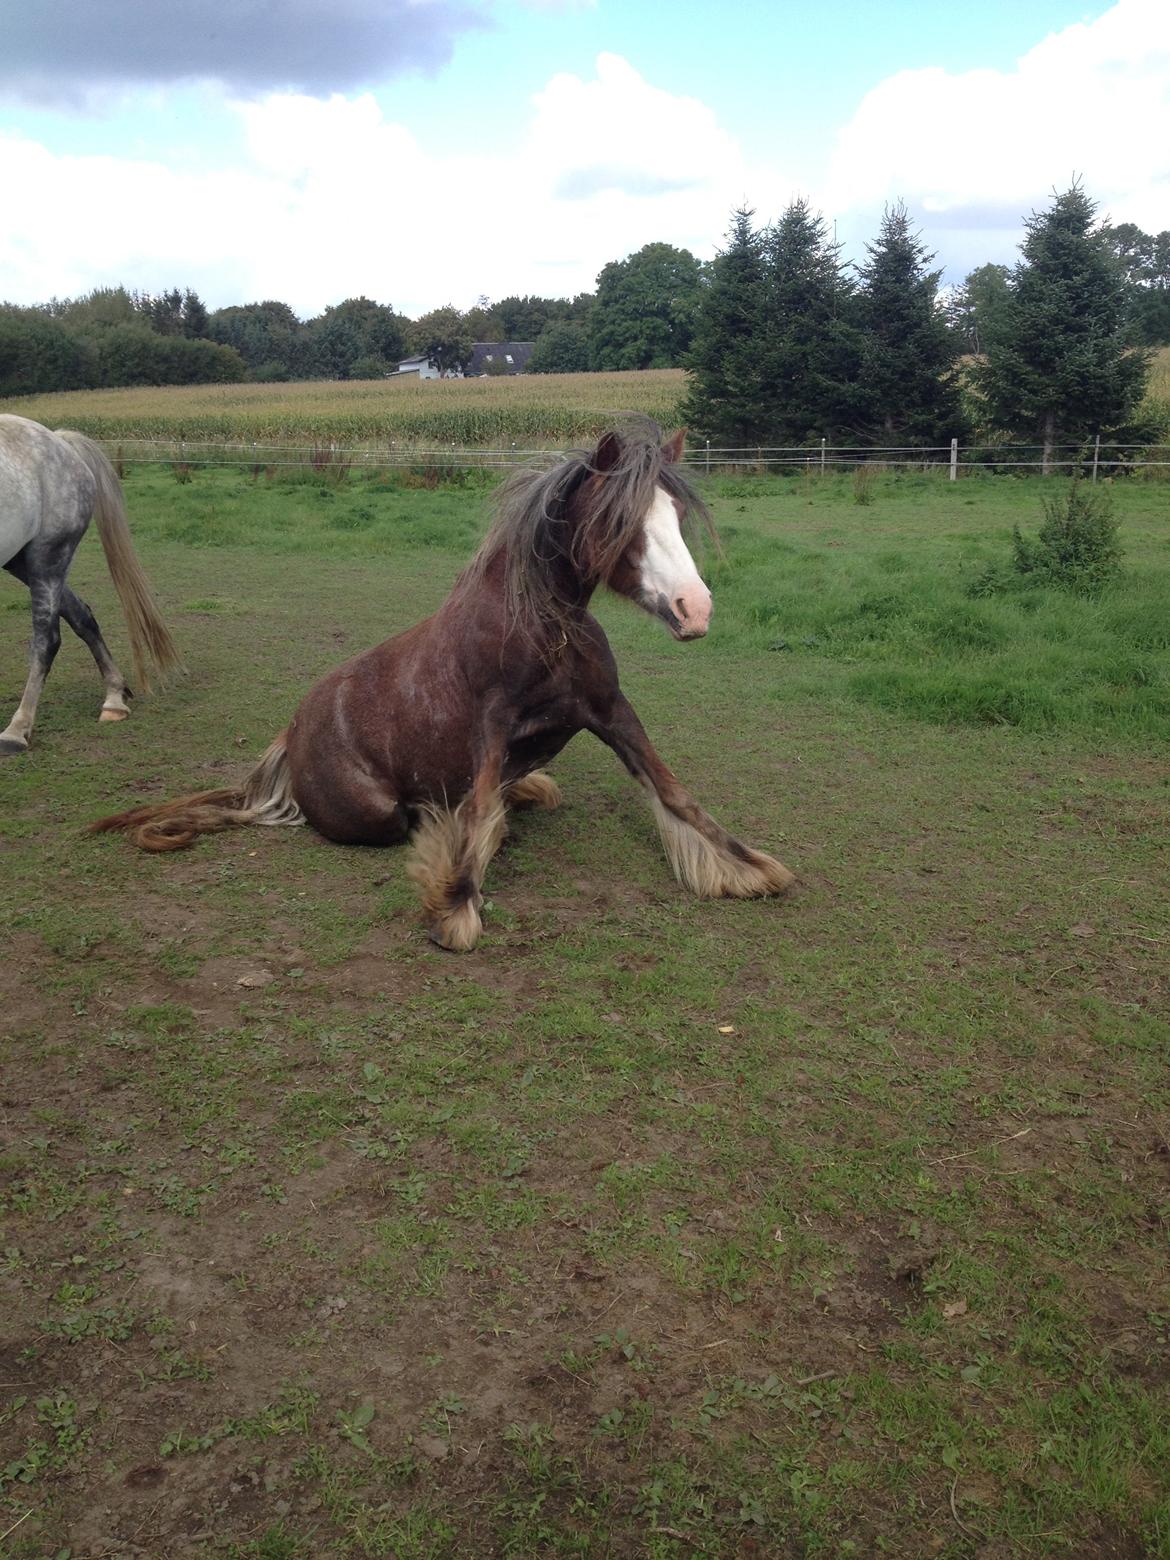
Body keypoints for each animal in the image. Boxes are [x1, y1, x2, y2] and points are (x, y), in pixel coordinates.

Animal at [1, 414, 180, 755]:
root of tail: (59, 440)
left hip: (48, 556)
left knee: (47, 639)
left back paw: (17, 730)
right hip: (20, 559)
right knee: (82, 615)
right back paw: (114, 697)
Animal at [93, 421, 798, 942]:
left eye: (675, 512)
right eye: (617, 522)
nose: (693, 610)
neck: (543, 633)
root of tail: (288, 738)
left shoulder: (611, 711)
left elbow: (675, 794)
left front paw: (749, 869)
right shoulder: (489, 727)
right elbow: (478, 810)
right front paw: (454, 906)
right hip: (375, 813)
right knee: (418, 814)